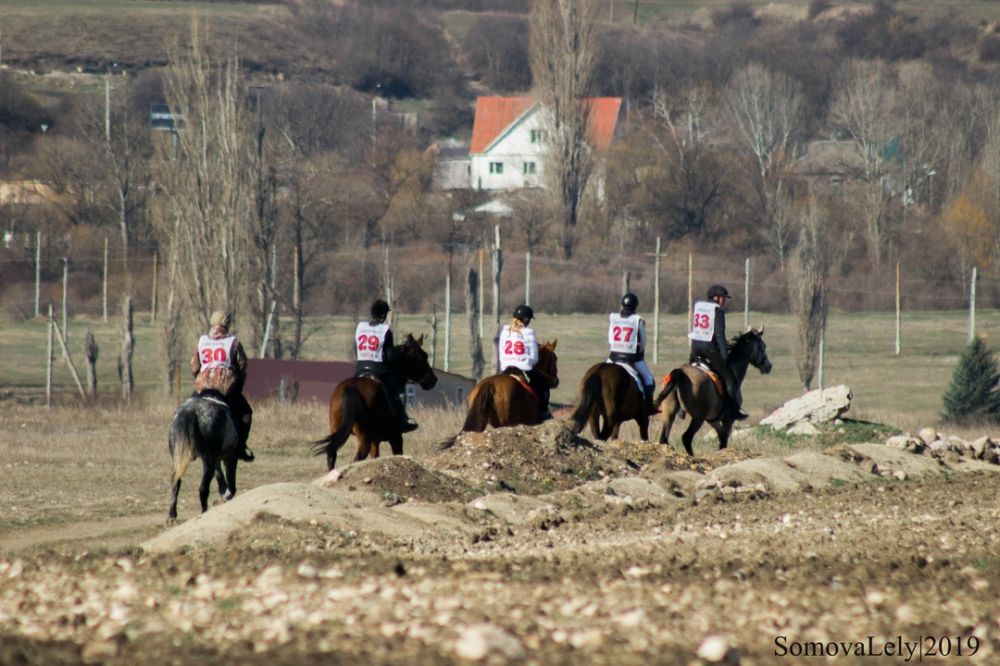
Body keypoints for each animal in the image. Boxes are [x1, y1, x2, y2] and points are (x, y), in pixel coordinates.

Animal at [168, 386, 240, 520]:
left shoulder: (217, 460)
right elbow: (230, 483)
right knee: (203, 487)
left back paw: (171, 515)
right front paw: (226, 496)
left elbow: (220, 476)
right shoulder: (230, 457)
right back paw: (204, 512)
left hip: (178, 458)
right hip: (208, 460)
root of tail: (190, 411)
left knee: (176, 483)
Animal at [312, 334, 438, 470]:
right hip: (364, 440)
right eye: (423, 356)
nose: (433, 380)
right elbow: (397, 455)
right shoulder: (396, 437)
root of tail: (350, 388)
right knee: (356, 460)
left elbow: (375, 458)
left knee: (331, 455)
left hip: (338, 432)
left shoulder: (375, 441)